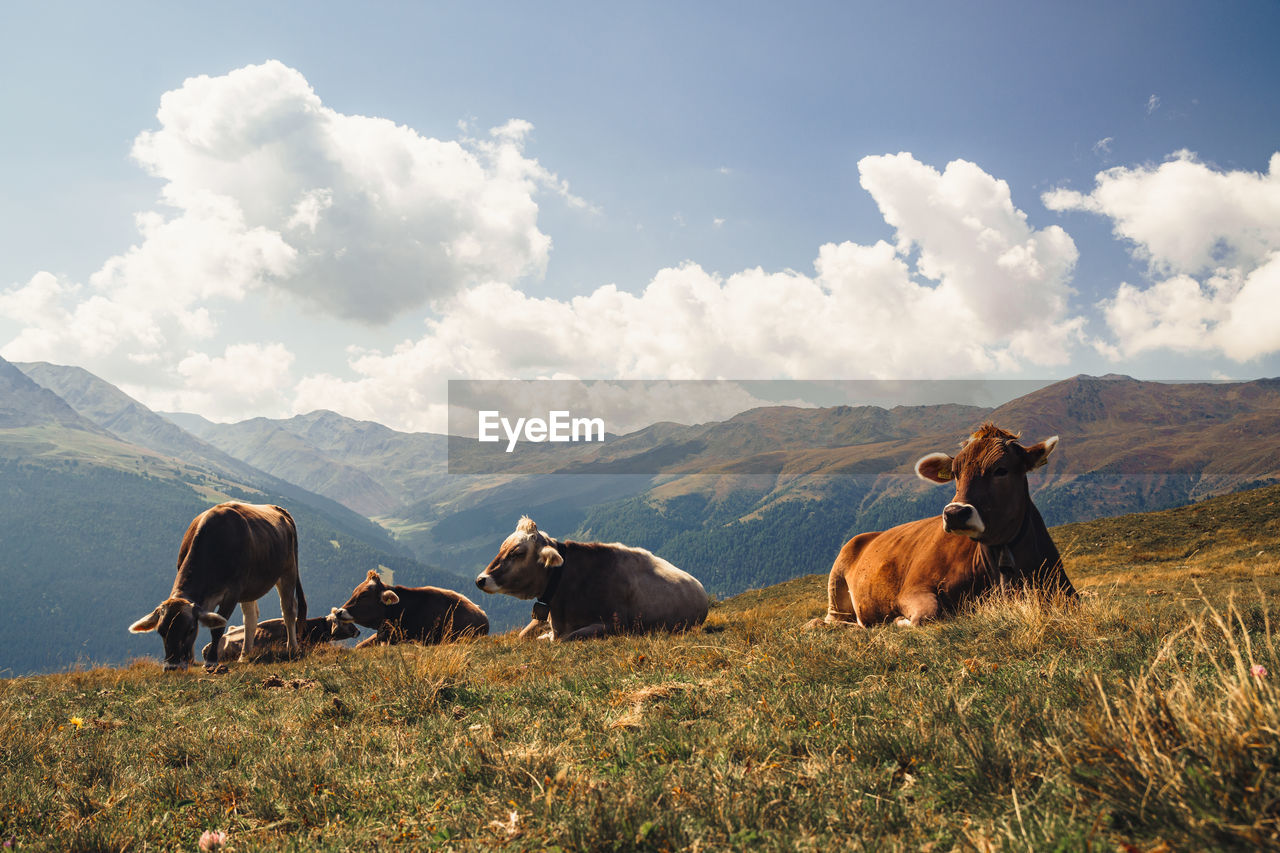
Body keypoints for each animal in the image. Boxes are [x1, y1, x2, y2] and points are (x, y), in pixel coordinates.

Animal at [128, 499, 303, 671]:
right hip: (250, 586)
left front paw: (211, 661)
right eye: (161, 631)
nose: (172, 666)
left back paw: (292, 649)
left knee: (288, 610)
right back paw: (244, 655)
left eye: (190, 630)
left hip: (288, 571)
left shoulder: (232, 592)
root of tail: (278, 509)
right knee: (250, 618)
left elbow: (218, 627)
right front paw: (191, 660)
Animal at [814, 422, 1075, 627]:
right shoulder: (912, 589)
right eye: (955, 473)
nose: (955, 513)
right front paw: (897, 620)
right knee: (830, 620)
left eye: (1001, 469)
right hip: (837, 580)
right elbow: (928, 614)